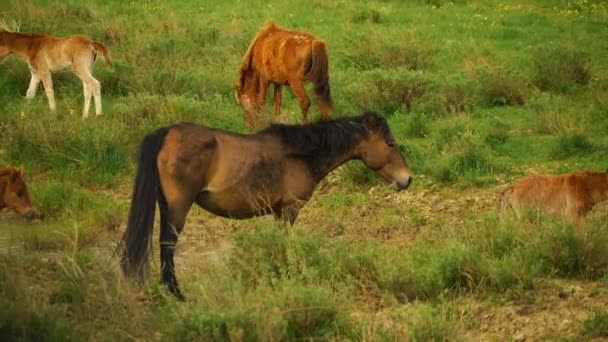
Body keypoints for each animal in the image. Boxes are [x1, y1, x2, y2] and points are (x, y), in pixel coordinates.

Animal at [120, 112, 414, 300]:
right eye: (390, 143)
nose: (407, 179)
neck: (302, 154)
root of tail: (167, 133)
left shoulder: (278, 212)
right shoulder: (290, 210)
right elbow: (284, 244)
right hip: (178, 207)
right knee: (168, 245)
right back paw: (176, 293)